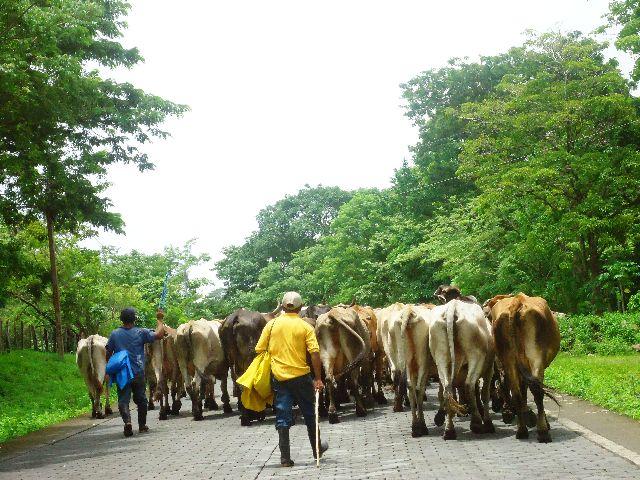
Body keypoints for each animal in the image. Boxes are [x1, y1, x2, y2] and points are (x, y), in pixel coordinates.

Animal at [430, 302, 496, 440]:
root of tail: (453, 306)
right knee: (469, 385)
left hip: (440, 357)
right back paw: (476, 423)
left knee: (447, 389)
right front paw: (488, 423)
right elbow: (485, 394)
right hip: (476, 355)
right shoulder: (489, 370)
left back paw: (449, 430)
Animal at [490, 292, 560, 442]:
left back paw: (521, 430)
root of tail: (518, 301)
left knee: (516, 392)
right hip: (535, 357)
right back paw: (543, 431)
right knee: (537, 390)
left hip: (509, 360)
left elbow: (521, 390)